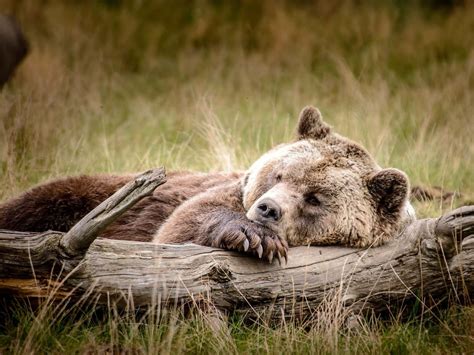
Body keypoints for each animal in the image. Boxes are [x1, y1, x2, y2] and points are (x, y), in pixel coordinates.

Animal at [0, 107, 414, 262]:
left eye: (315, 198)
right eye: (279, 174)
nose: (267, 209)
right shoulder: (211, 194)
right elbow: (183, 224)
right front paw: (253, 237)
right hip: (76, 194)